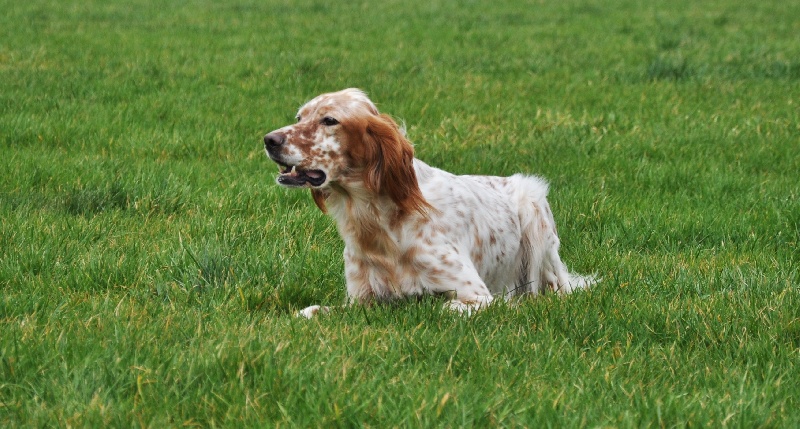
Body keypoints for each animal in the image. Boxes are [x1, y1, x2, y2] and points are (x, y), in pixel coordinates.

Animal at [264, 88, 592, 316]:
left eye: (329, 120)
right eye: (299, 118)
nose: (269, 139)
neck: (378, 221)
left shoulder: (478, 295)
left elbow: (441, 307)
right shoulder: (360, 301)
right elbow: (311, 311)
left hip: (533, 203)